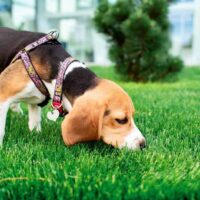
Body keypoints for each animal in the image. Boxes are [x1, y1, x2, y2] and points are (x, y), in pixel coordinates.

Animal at [0, 27, 145, 150]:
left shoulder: (37, 101)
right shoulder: (3, 93)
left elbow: (35, 120)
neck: (62, 74)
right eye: (121, 120)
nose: (144, 144)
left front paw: (35, 134)